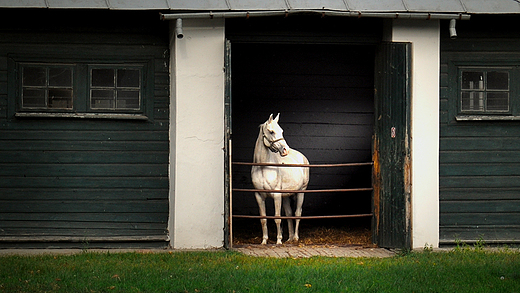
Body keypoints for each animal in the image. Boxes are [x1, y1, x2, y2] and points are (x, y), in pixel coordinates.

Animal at [251, 113, 308, 243]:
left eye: (281, 131)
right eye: (271, 131)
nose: (285, 150)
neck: (263, 167)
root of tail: (302, 156)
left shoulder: (276, 195)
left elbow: (277, 218)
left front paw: (278, 241)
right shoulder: (258, 196)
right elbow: (263, 219)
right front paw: (264, 241)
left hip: (301, 191)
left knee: (297, 213)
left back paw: (295, 237)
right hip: (286, 195)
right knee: (289, 213)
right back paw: (290, 238)